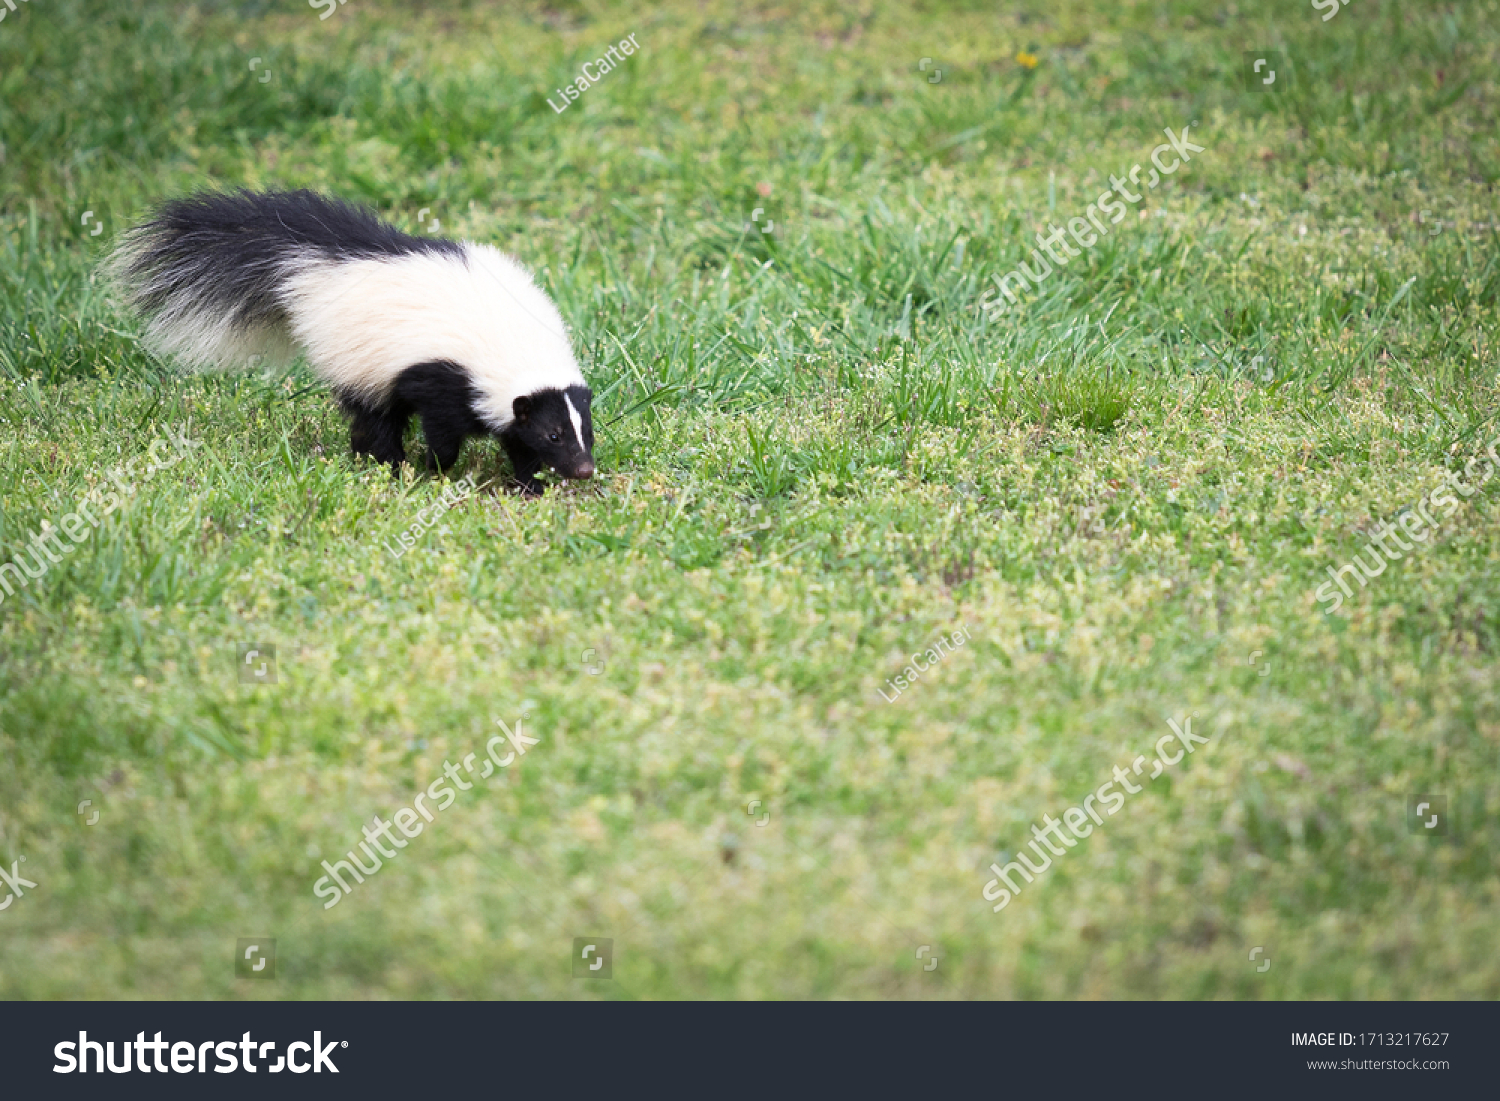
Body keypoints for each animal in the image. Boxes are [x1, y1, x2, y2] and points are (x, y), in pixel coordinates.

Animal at [111, 190, 594, 495]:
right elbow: (443, 431)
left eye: (585, 430)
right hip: (363, 361)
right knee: (374, 417)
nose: (585, 469)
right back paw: (387, 462)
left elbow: (515, 441)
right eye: (554, 434)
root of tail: (322, 262)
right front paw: (435, 468)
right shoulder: (444, 377)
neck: (514, 344)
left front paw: (529, 484)